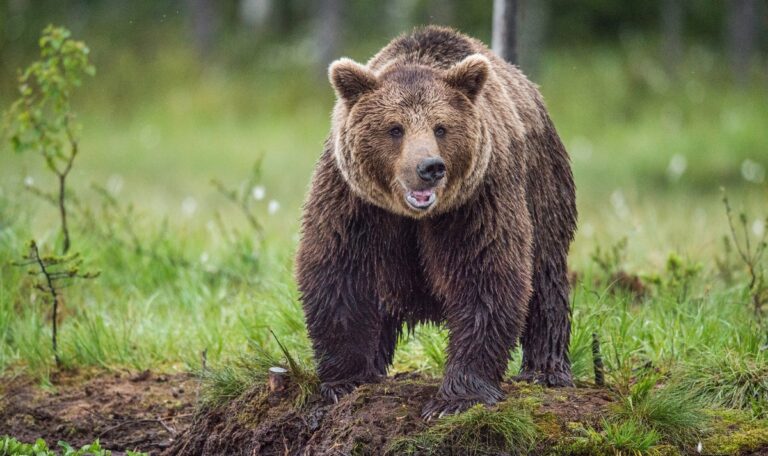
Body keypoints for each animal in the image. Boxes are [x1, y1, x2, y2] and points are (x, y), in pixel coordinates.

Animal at [295, 26, 577, 419]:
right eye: (395, 128)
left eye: (441, 128)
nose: (429, 167)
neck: (413, 216)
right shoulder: (354, 202)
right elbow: (340, 272)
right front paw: (345, 380)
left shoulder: (476, 202)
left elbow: (485, 276)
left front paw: (457, 397)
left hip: (544, 188)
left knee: (546, 278)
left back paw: (545, 371)